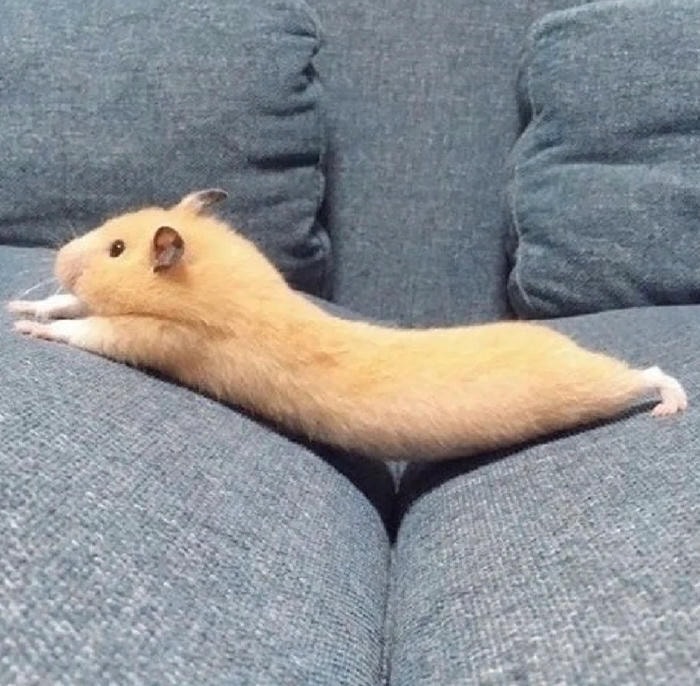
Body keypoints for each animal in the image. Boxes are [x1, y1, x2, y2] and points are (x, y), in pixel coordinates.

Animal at [7, 189, 687, 462]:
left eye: (117, 249)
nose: (59, 258)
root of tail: (567, 344)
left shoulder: (164, 339)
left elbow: (93, 331)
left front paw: (32, 330)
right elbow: (72, 307)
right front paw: (23, 307)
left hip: (589, 387)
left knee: (646, 373)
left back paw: (671, 406)